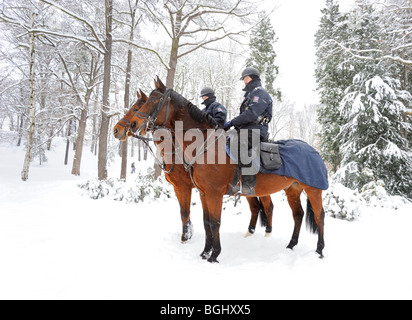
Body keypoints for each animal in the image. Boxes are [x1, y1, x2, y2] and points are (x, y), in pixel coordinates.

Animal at [112, 89, 274, 241]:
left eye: (135, 108)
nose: (116, 130)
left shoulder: (184, 186)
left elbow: (185, 211)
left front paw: (186, 235)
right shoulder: (183, 187)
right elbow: (185, 211)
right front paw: (189, 233)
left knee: (268, 207)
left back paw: (266, 233)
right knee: (255, 207)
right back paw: (249, 233)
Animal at [129, 77, 326, 262]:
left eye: (153, 99)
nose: (132, 125)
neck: (205, 146)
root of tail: (314, 150)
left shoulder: (213, 193)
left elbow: (215, 222)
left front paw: (214, 255)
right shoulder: (203, 193)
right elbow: (207, 222)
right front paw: (205, 252)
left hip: (313, 189)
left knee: (319, 216)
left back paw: (319, 250)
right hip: (292, 189)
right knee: (298, 215)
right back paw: (291, 244)